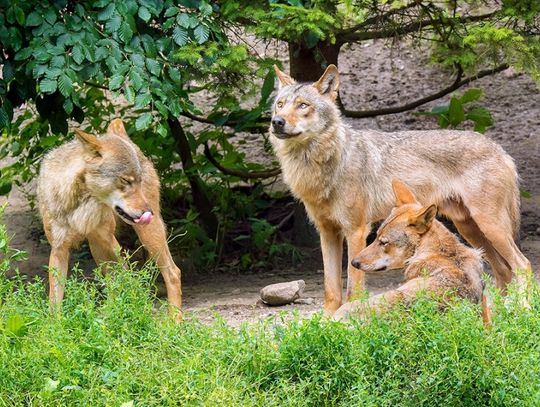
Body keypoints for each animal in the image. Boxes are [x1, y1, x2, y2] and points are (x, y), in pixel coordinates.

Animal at [37, 118, 184, 322]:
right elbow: (54, 300)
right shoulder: (59, 249)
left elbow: (128, 282)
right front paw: (55, 327)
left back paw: (175, 323)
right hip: (96, 248)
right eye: (125, 180)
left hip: (147, 235)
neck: (82, 207)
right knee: (112, 282)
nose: (149, 212)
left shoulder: (110, 242)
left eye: (138, 181)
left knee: (173, 272)